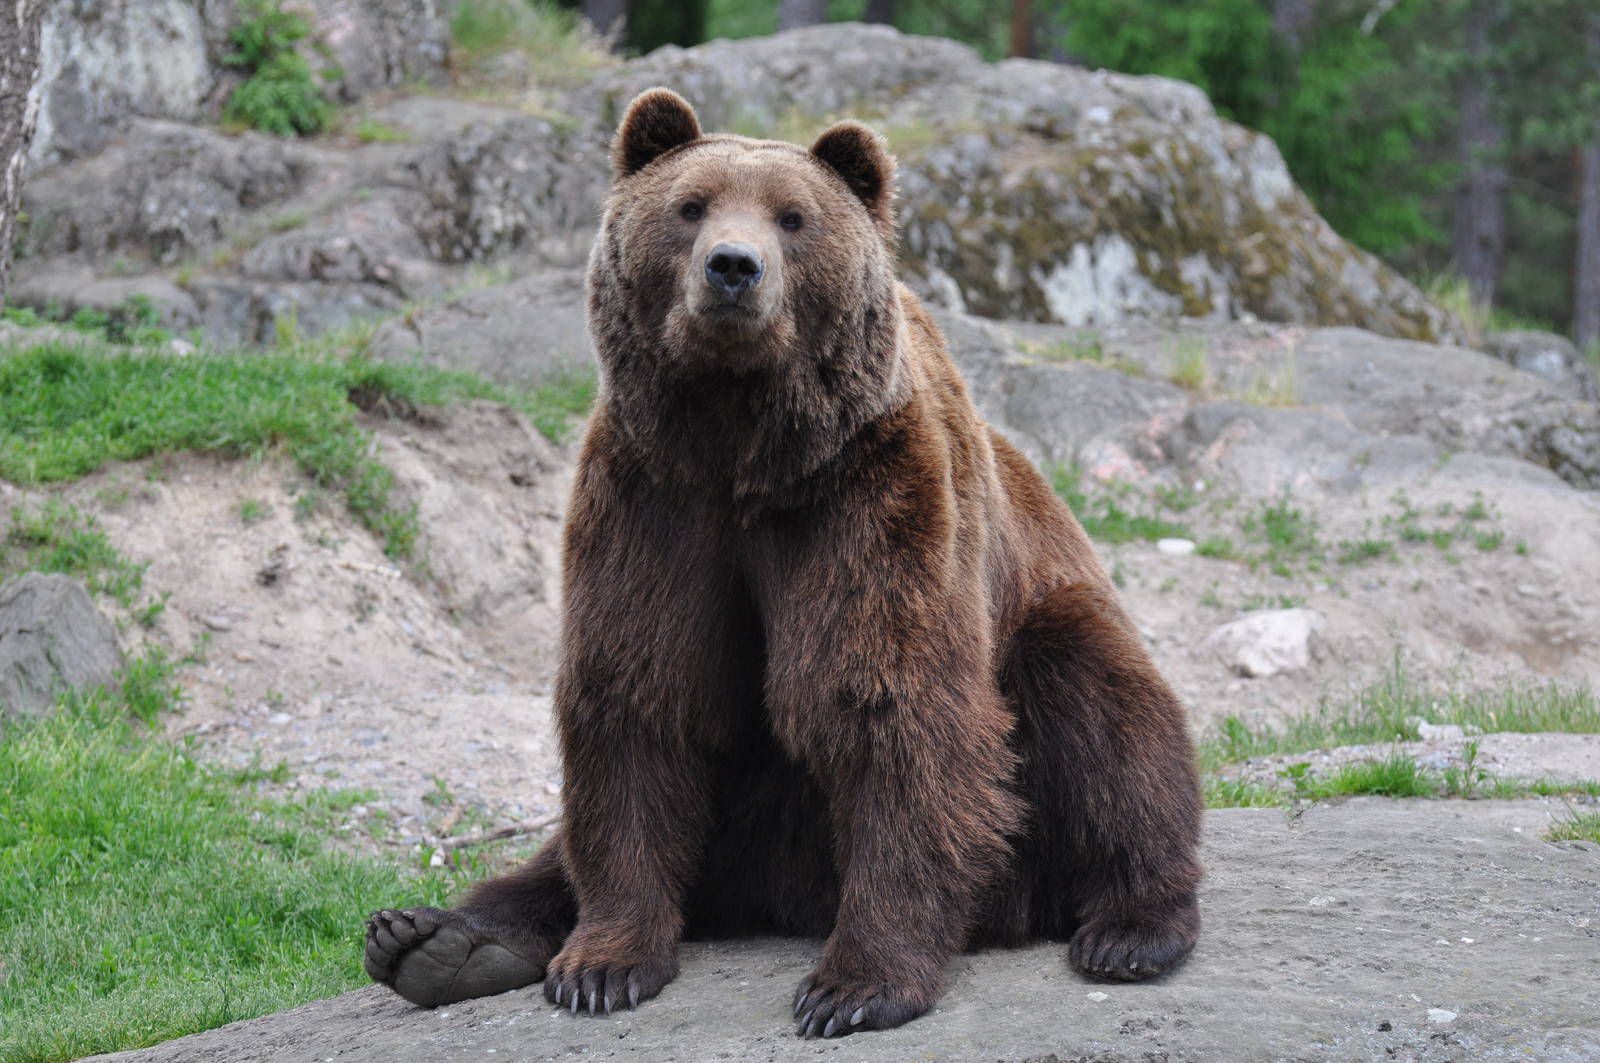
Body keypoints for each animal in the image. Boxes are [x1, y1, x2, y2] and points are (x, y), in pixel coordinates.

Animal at [363, 87, 1203, 1039]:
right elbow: (637, 698)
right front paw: (602, 962)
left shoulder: (868, 494)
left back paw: (1131, 927)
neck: (743, 446)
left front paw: (855, 984)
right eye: (690, 206)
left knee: (1101, 710)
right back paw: (434, 939)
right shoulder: (654, 498)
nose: (734, 267)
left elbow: (884, 702)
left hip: (1043, 630)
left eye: (793, 217)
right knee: (557, 850)